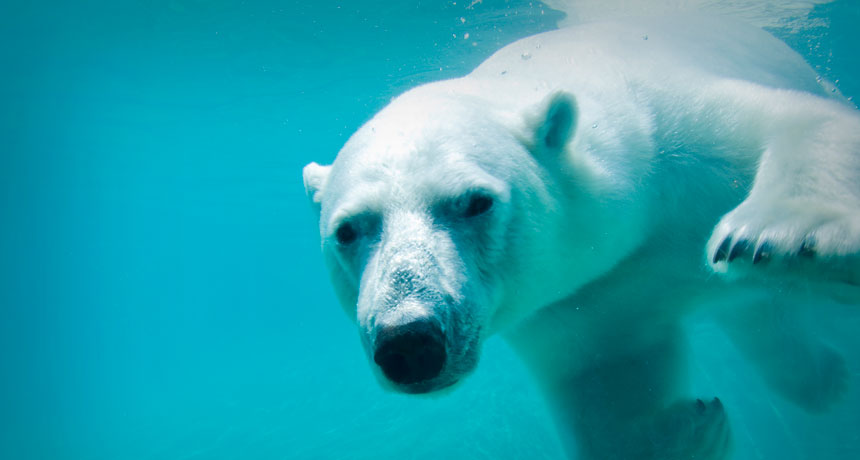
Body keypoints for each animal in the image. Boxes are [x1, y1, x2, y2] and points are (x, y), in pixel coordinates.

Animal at [302, 15, 859, 460]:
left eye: (475, 202)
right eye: (347, 230)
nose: (410, 341)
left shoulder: (678, 139)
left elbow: (795, 122)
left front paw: (777, 235)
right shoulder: (586, 304)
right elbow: (608, 384)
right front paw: (688, 430)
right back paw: (825, 378)